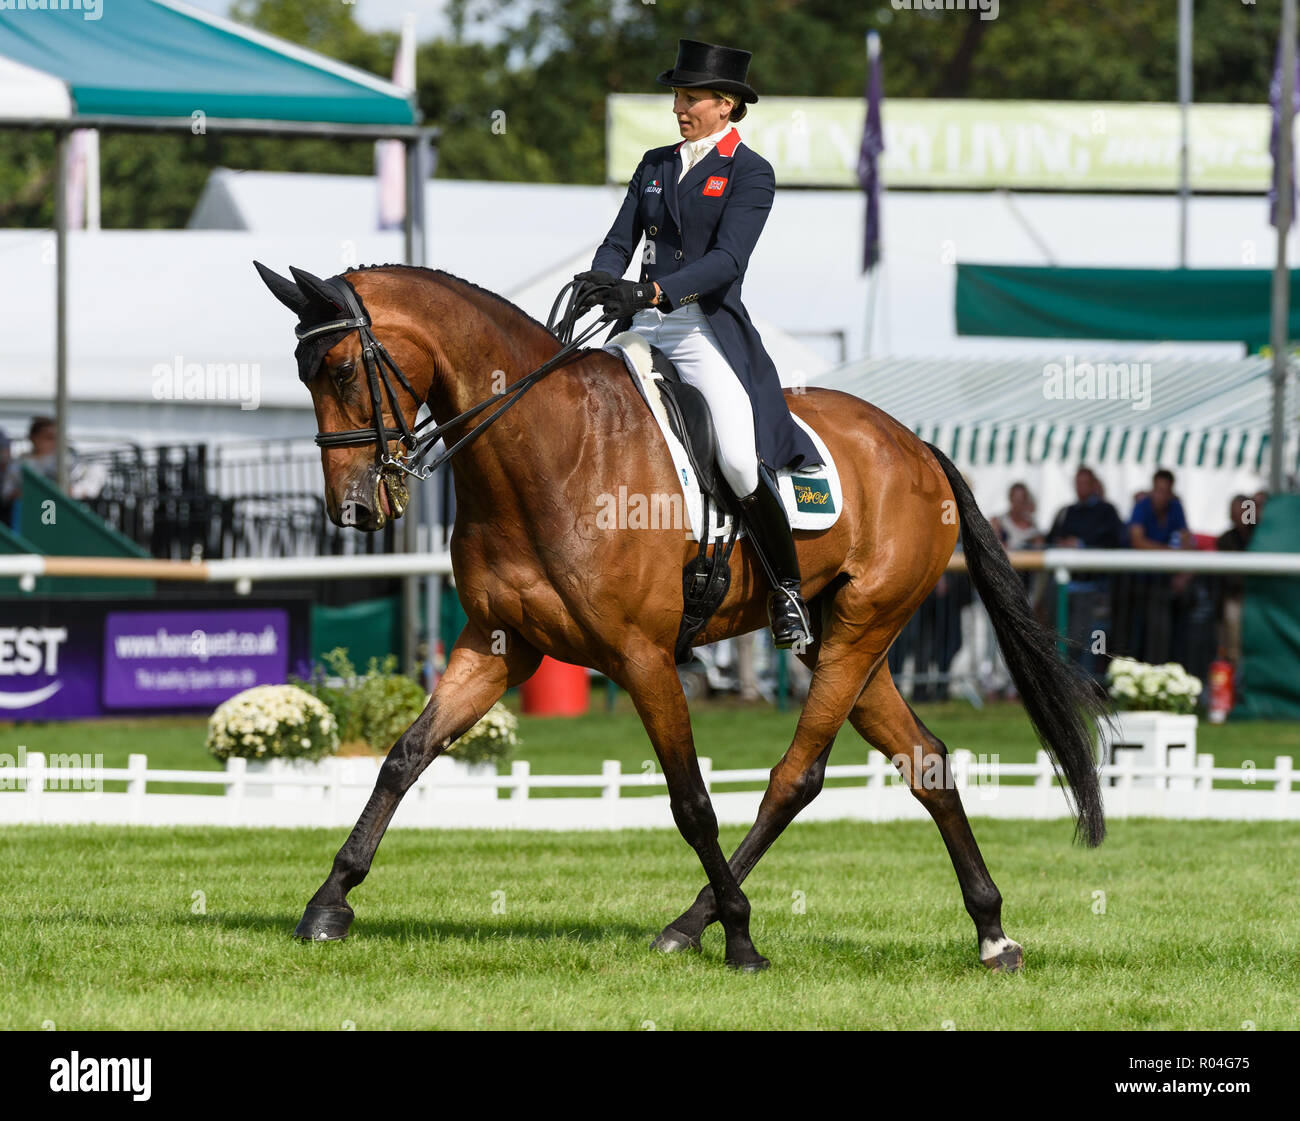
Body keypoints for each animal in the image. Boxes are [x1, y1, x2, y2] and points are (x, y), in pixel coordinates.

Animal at [256, 262, 1107, 972]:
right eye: (304, 374)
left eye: (341, 369)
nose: (354, 509)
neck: (545, 450)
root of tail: (920, 447)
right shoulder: (500, 645)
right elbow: (404, 756)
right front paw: (329, 903)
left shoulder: (644, 656)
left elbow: (691, 799)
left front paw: (743, 939)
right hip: (845, 641)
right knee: (924, 760)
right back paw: (991, 932)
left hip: (862, 629)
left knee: (795, 777)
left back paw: (703, 922)